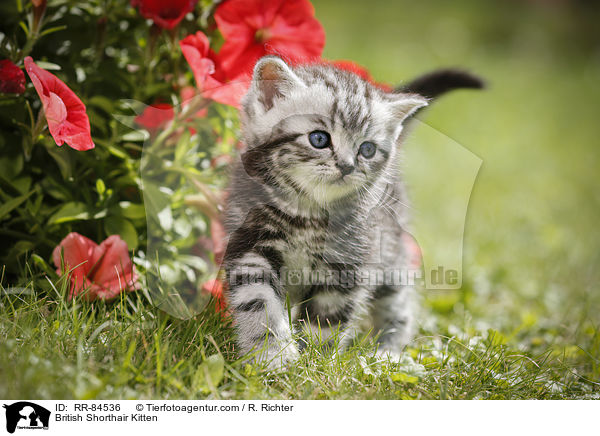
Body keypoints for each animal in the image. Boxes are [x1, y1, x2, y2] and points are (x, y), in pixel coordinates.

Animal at [223, 55, 480, 368]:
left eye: (367, 149)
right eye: (319, 139)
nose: (347, 166)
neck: (307, 215)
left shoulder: (348, 262)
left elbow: (327, 320)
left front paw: (315, 362)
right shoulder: (250, 249)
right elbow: (260, 305)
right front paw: (273, 357)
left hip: (390, 251)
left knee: (398, 305)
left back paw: (387, 354)